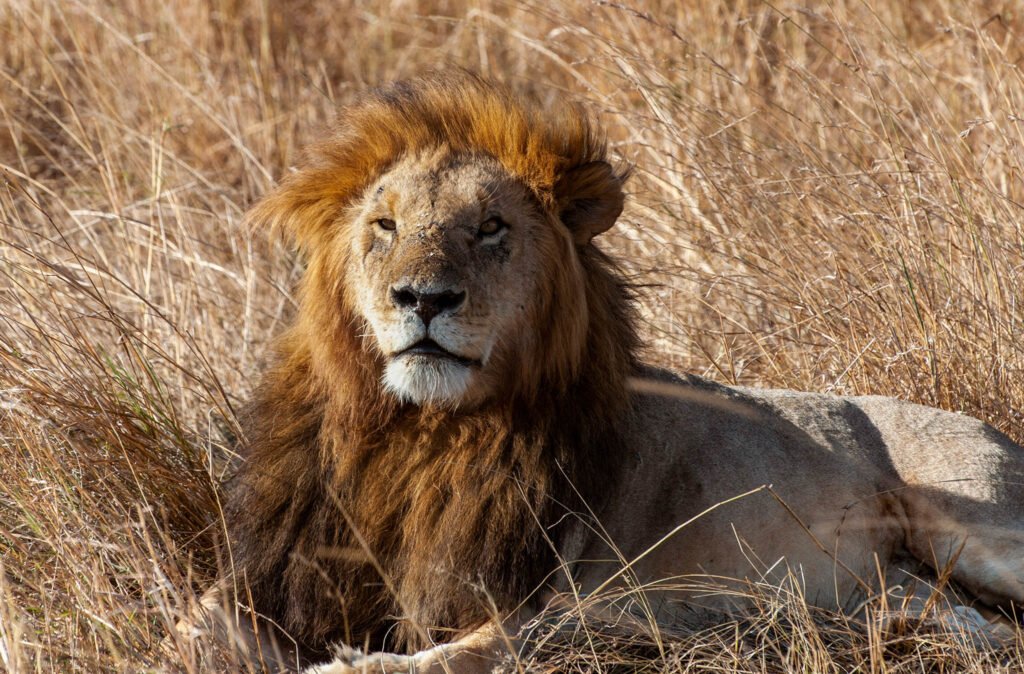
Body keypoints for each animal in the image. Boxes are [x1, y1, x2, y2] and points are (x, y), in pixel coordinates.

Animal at [197, 70, 1024, 667]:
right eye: (385, 225)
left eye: (490, 227)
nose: (423, 298)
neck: (421, 435)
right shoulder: (277, 575)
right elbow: (197, 624)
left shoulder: (560, 602)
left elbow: (461, 653)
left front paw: (352, 663)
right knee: (973, 621)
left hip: (972, 521)